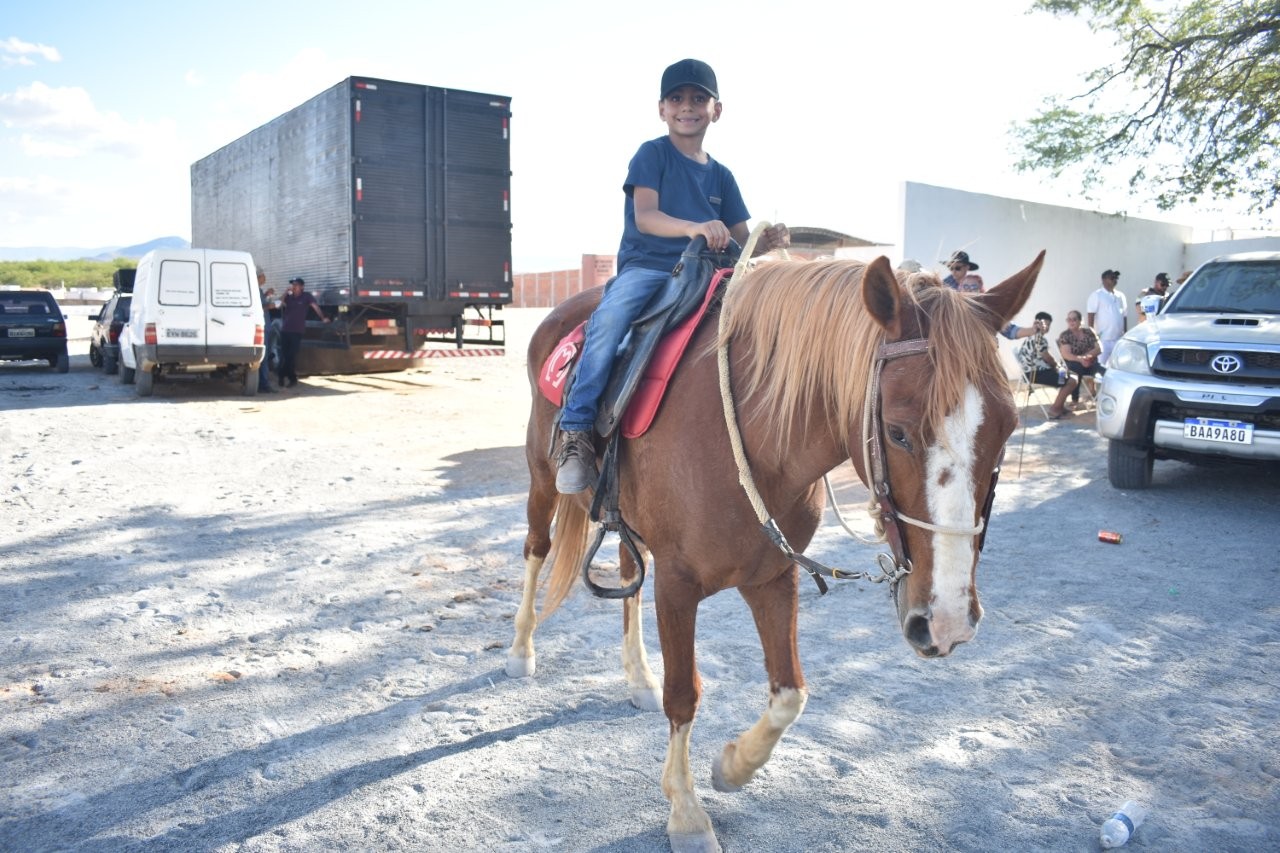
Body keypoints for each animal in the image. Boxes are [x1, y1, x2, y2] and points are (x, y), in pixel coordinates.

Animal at [506, 251, 1043, 852]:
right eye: (898, 432)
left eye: (1007, 430)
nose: (948, 622)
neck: (753, 440)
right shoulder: (677, 584)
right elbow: (684, 694)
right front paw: (687, 812)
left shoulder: (773, 576)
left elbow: (791, 694)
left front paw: (732, 767)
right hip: (542, 479)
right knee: (536, 549)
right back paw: (521, 650)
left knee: (626, 576)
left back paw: (638, 676)